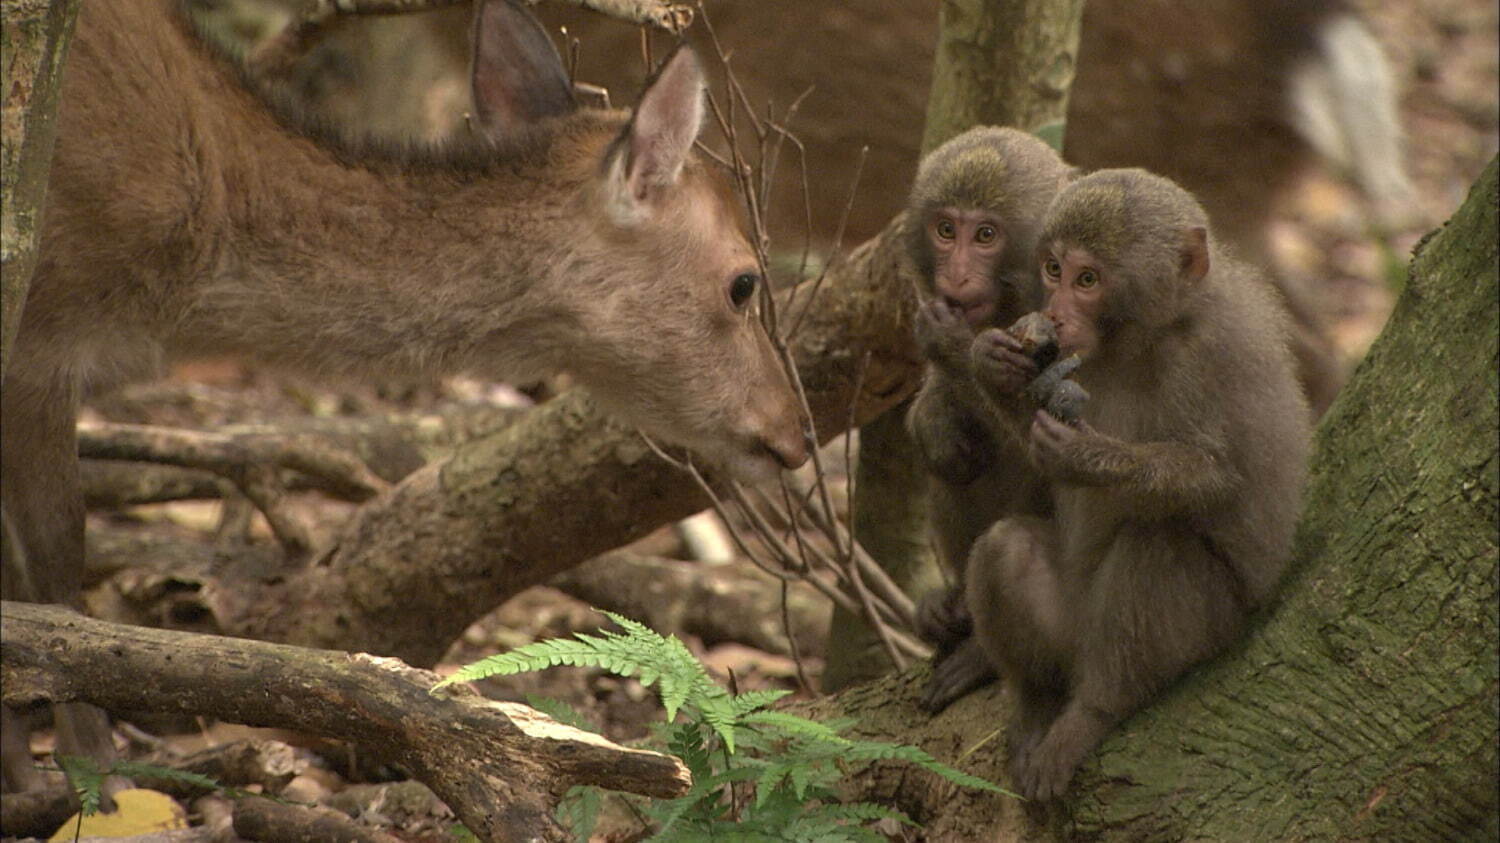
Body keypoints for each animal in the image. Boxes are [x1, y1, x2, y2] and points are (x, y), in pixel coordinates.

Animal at [900, 126, 1080, 708]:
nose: (956, 277)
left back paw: (979, 649)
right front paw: (933, 418)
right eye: (945, 230)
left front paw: (964, 350)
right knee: (959, 462)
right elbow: (946, 432)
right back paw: (950, 608)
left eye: (985, 235)